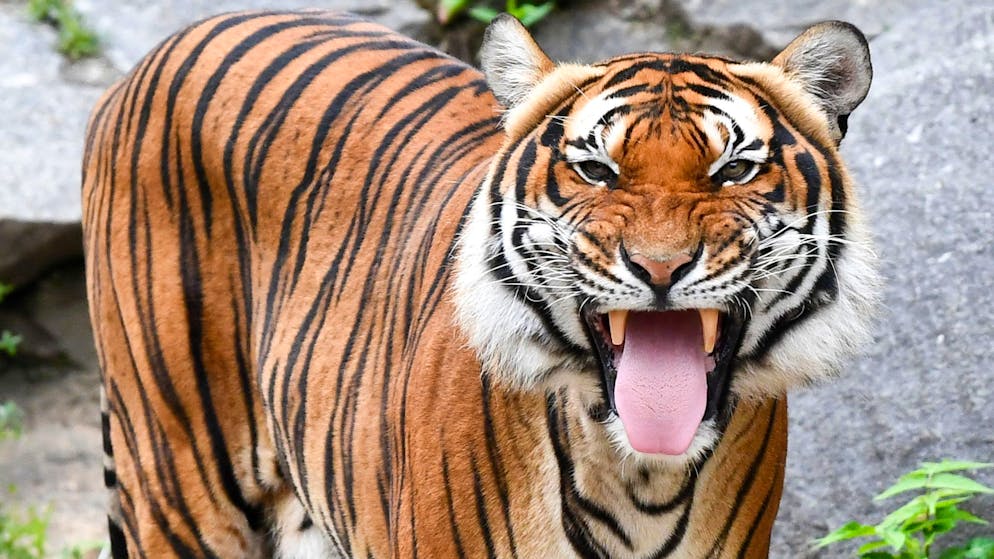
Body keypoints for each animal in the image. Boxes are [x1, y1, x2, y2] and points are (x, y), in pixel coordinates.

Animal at [82, 9, 880, 559]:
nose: (659, 267)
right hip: (179, 483)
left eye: (735, 170)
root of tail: (160, 52)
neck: (641, 479)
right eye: (596, 169)